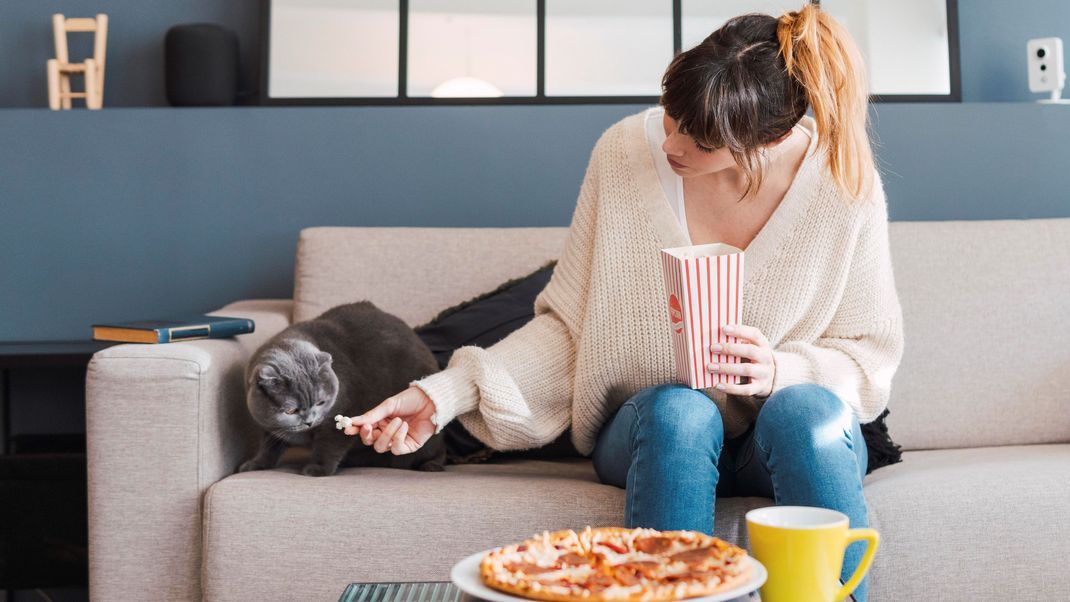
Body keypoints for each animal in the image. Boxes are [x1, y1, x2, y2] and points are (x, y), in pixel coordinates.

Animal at [238, 301, 447, 476]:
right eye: (290, 411)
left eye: (321, 402)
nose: (309, 421)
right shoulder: (269, 426)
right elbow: (268, 446)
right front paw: (255, 464)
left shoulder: (343, 411)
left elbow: (329, 445)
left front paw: (318, 469)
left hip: (429, 445)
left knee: (438, 452)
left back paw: (431, 465)